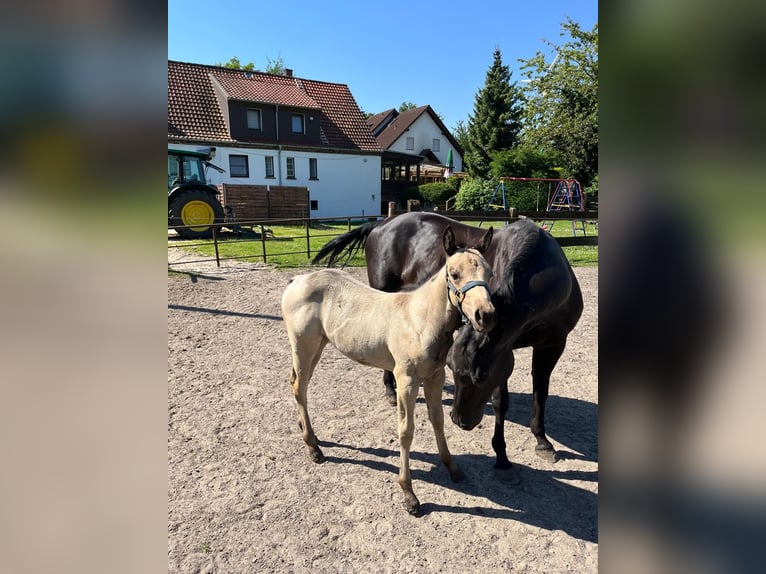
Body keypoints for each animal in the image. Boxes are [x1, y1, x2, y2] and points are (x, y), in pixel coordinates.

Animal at [316, 213, 584, 476]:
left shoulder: (551, 345)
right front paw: (501, 454)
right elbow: (501, 402)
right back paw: (390, 390)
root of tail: (382, 223)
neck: (546, 275)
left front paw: (542, 441)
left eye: (481, 376)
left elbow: (540, 392)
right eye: (453, 371)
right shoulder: (504, 348)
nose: (459, 420)